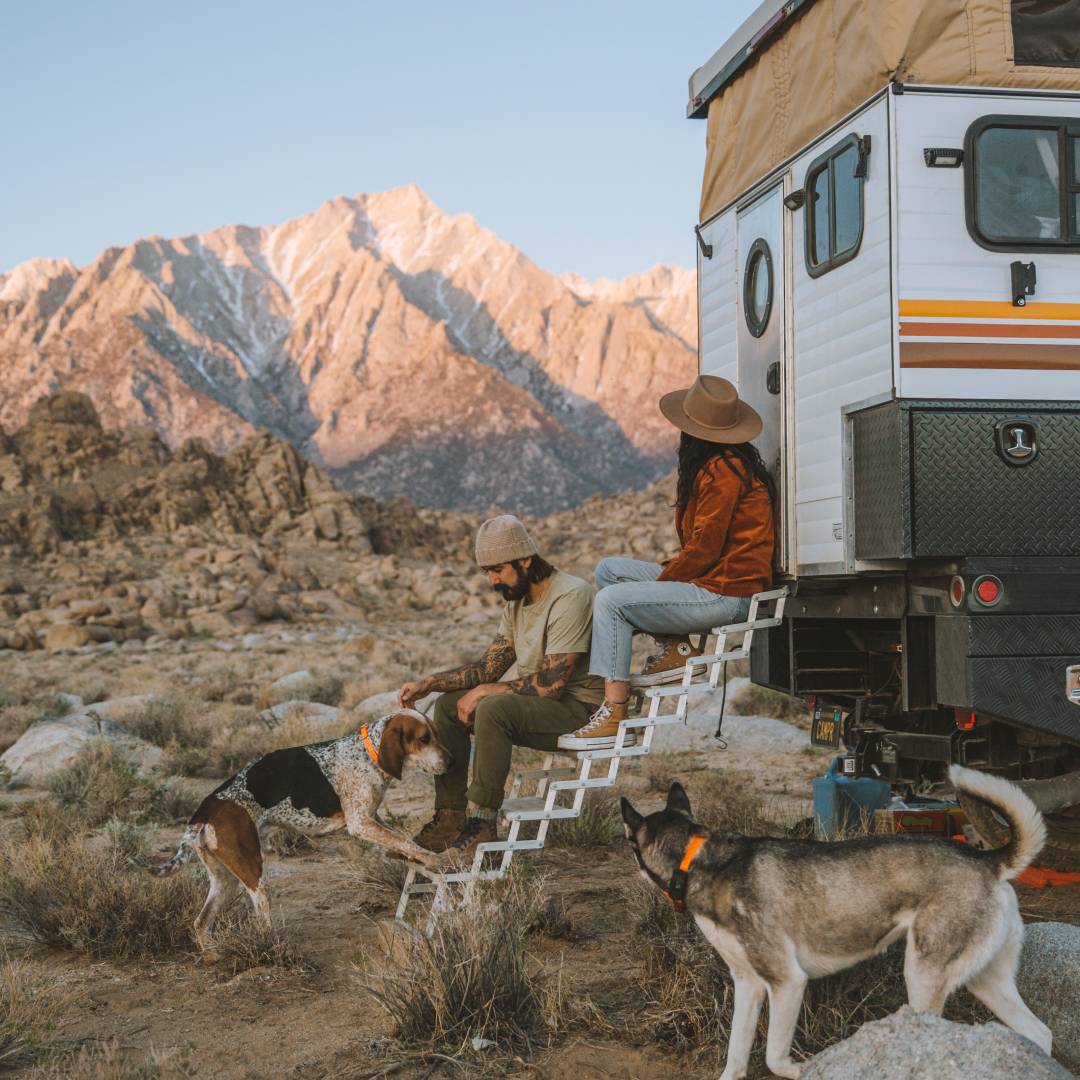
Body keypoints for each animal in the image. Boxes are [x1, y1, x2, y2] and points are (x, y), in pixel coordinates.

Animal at [141, 708, 449, 954]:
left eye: (436, 733)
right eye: (424, 739)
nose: (452, 761)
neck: (368, 752)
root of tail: (205, 809)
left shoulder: (371, 819)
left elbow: (402, 841)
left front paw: (422, 859)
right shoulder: (360, 823)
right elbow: (405, 841)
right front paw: (434, 860)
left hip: (224, 878)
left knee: (201, 922)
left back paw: (213, 957)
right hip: (252, 872)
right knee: (261, 921)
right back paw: (272, 949)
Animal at [622, 764, 1049, 1075]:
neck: (696, 858)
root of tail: (987, 859)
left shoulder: (788, 982)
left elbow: (775, 1058)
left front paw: (807, 1068)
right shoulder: (748, 985)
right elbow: (735, 1056)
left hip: (922, 978)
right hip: (986, 982)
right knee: (1039, 1033)